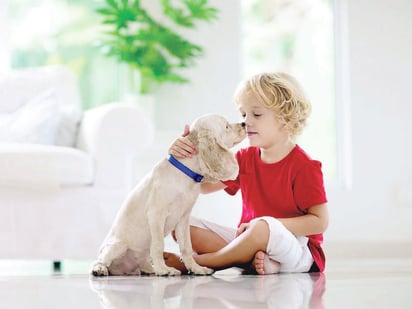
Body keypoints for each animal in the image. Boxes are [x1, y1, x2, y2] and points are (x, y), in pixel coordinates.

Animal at [90, 114, 246, 276]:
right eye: (226, 126)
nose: (244, 124)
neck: (186, 173)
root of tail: (122, 270)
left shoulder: (183, 218)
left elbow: (186, 246)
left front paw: (196, 268)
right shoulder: (156, 215)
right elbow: (159, 245)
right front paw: (164, 270)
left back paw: (150, 270)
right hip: (116, 246)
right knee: (101, 259)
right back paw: (100, 269)